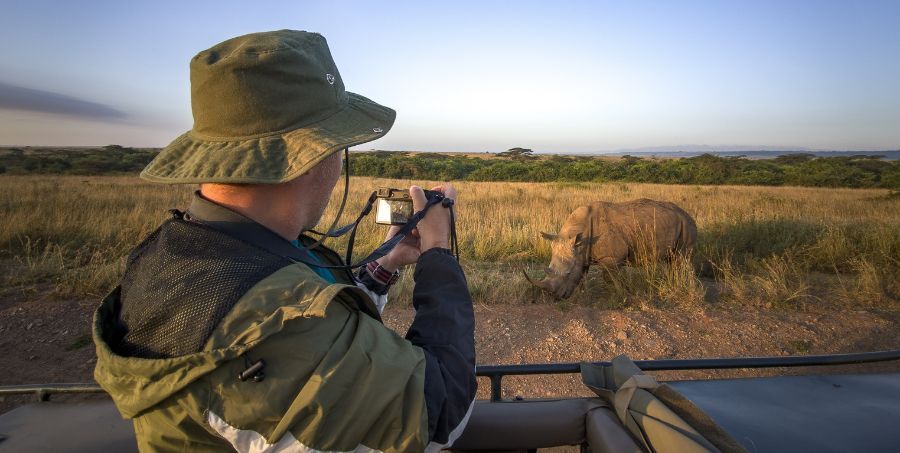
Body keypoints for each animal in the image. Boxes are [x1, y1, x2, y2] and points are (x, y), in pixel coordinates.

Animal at [524, 199, 697, 299]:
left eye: (567, 274)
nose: (557, 297)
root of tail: (688, 215)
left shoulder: (612, 258)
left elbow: (610, 278)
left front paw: (620, 294)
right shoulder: (582, 254)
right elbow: (582, 274)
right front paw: (580, 294)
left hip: (687, 225)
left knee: (681, 258)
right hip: (677, 224)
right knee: (672, 260)